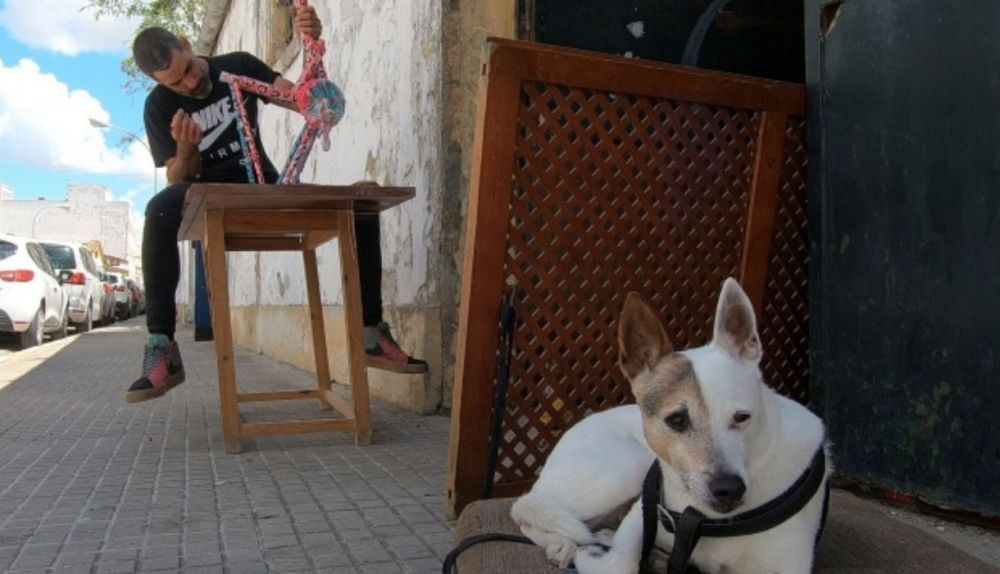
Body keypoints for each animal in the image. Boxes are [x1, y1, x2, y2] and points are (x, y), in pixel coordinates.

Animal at [510, 278, 830, 573]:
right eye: (676, 420)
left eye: (742, 417)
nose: (728, 489)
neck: (706, 520)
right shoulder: (645, 511)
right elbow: (621, 564)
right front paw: (592, 553)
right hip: (629, 465)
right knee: (531, 512)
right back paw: (563, 543)